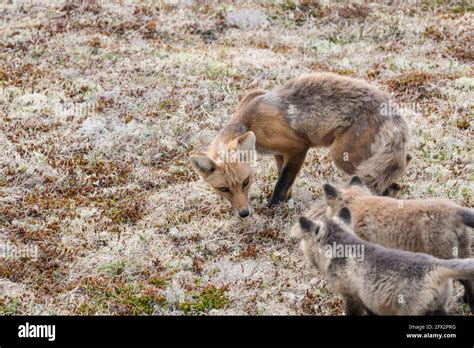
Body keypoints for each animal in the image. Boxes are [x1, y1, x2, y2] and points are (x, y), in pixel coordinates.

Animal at [191, 72, 410, 216]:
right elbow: (284, 177)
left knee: (389, 184)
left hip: (343, 157)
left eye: (245, 182)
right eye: (223, 189)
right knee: (404, 162)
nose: (244, 213)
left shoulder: (297, 148)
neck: (249, 120)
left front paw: (271, 208)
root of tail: (389, 106)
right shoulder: (279, 153)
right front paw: (286, 199)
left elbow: (281, 182)